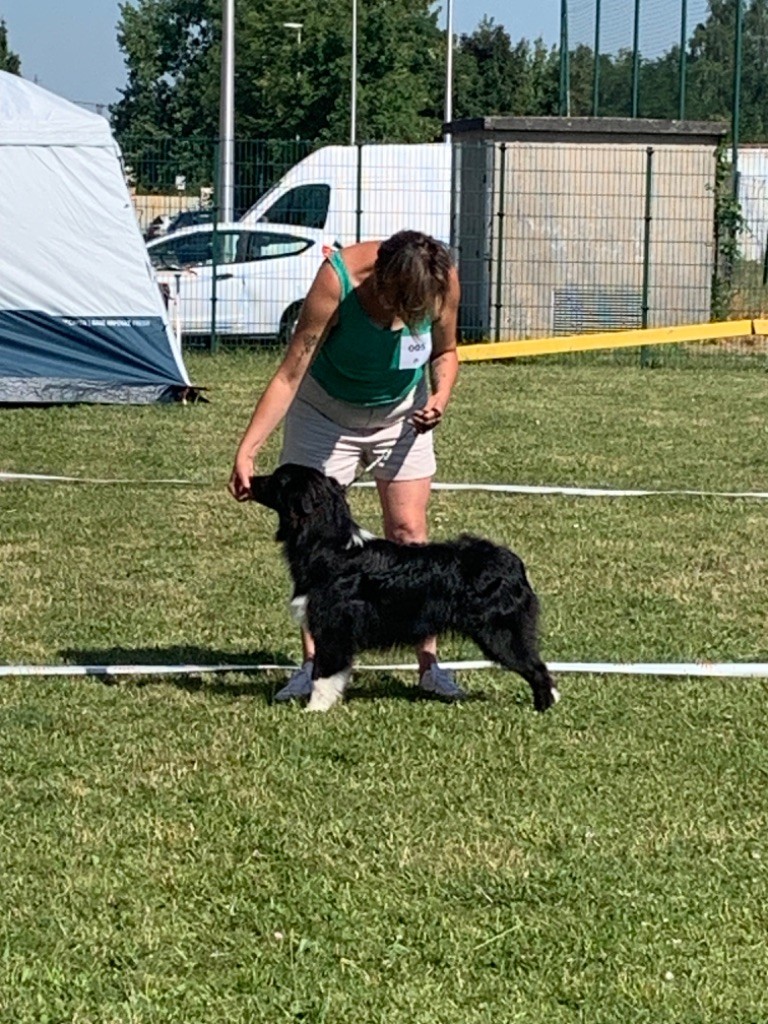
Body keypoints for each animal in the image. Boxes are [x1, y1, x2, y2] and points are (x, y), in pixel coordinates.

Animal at [252, 464, 561, 712]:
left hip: (500, 633)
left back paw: (543, 708)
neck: (328, 545)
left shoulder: (333, 629)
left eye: (278, 479)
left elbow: (323, 675)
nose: (250, 479)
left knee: (537, 668)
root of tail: (513, 563)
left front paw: (313, 711)